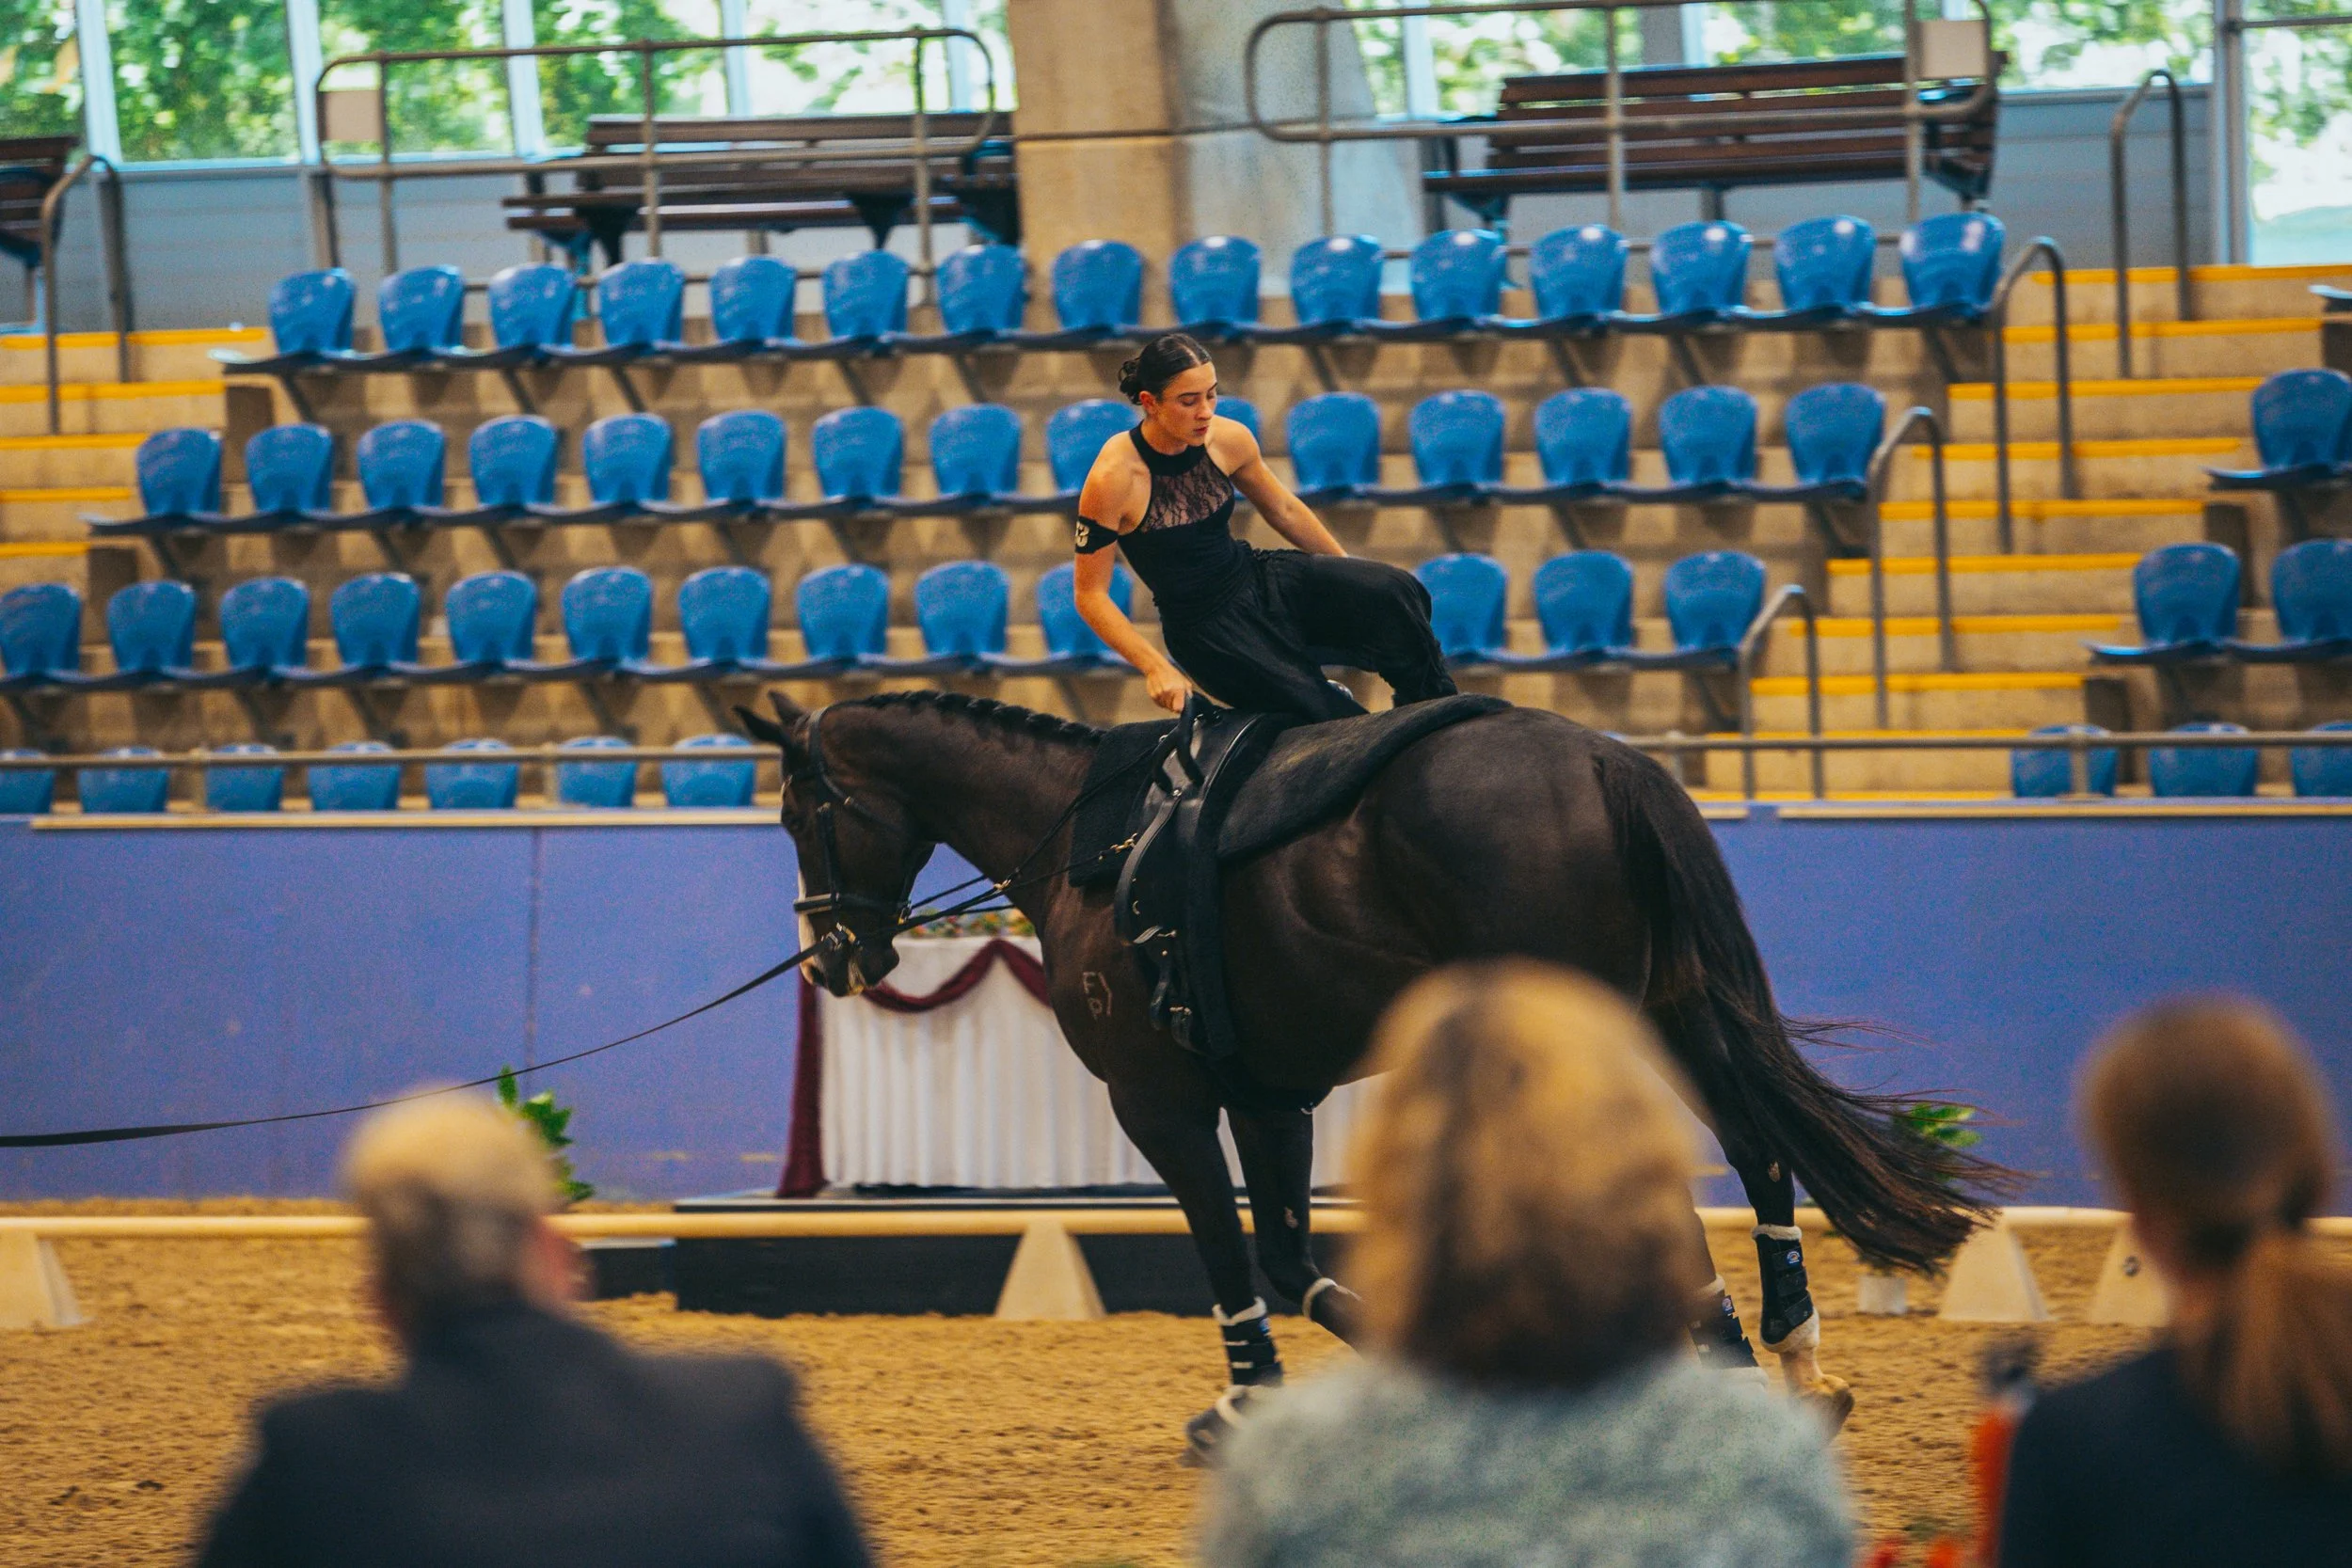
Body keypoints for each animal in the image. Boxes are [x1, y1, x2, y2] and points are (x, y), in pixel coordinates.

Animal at [740, 687, 1995, 1451]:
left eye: (802, 808)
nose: (835, 956)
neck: (1087, 843)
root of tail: (1597, 759)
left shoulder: (1158, 1099)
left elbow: (1231, 1249)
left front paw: (1243, 1402)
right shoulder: (1266, 1093)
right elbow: (1294, 1259)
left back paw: (1724, 1367)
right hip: (1670, 1006)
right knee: (1756, 1142)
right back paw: (1791, 1357)